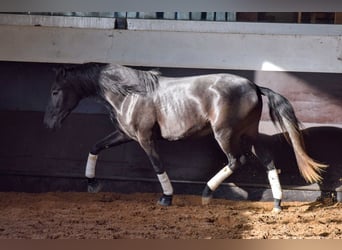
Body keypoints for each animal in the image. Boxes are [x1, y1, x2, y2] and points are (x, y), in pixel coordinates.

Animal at [44, 63, 328, 213]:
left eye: (56, 91)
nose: (48, 123)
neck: (129, 94)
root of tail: (255, 87)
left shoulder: (145, 138)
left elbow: (158, 165)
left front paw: (166, 197)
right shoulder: (125, 135)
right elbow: (95, 147)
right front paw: (92, 183)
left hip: (225, 134)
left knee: (236, 161)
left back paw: (207, 193)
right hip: (248, 134)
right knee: (268, 160)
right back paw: (277, 203)